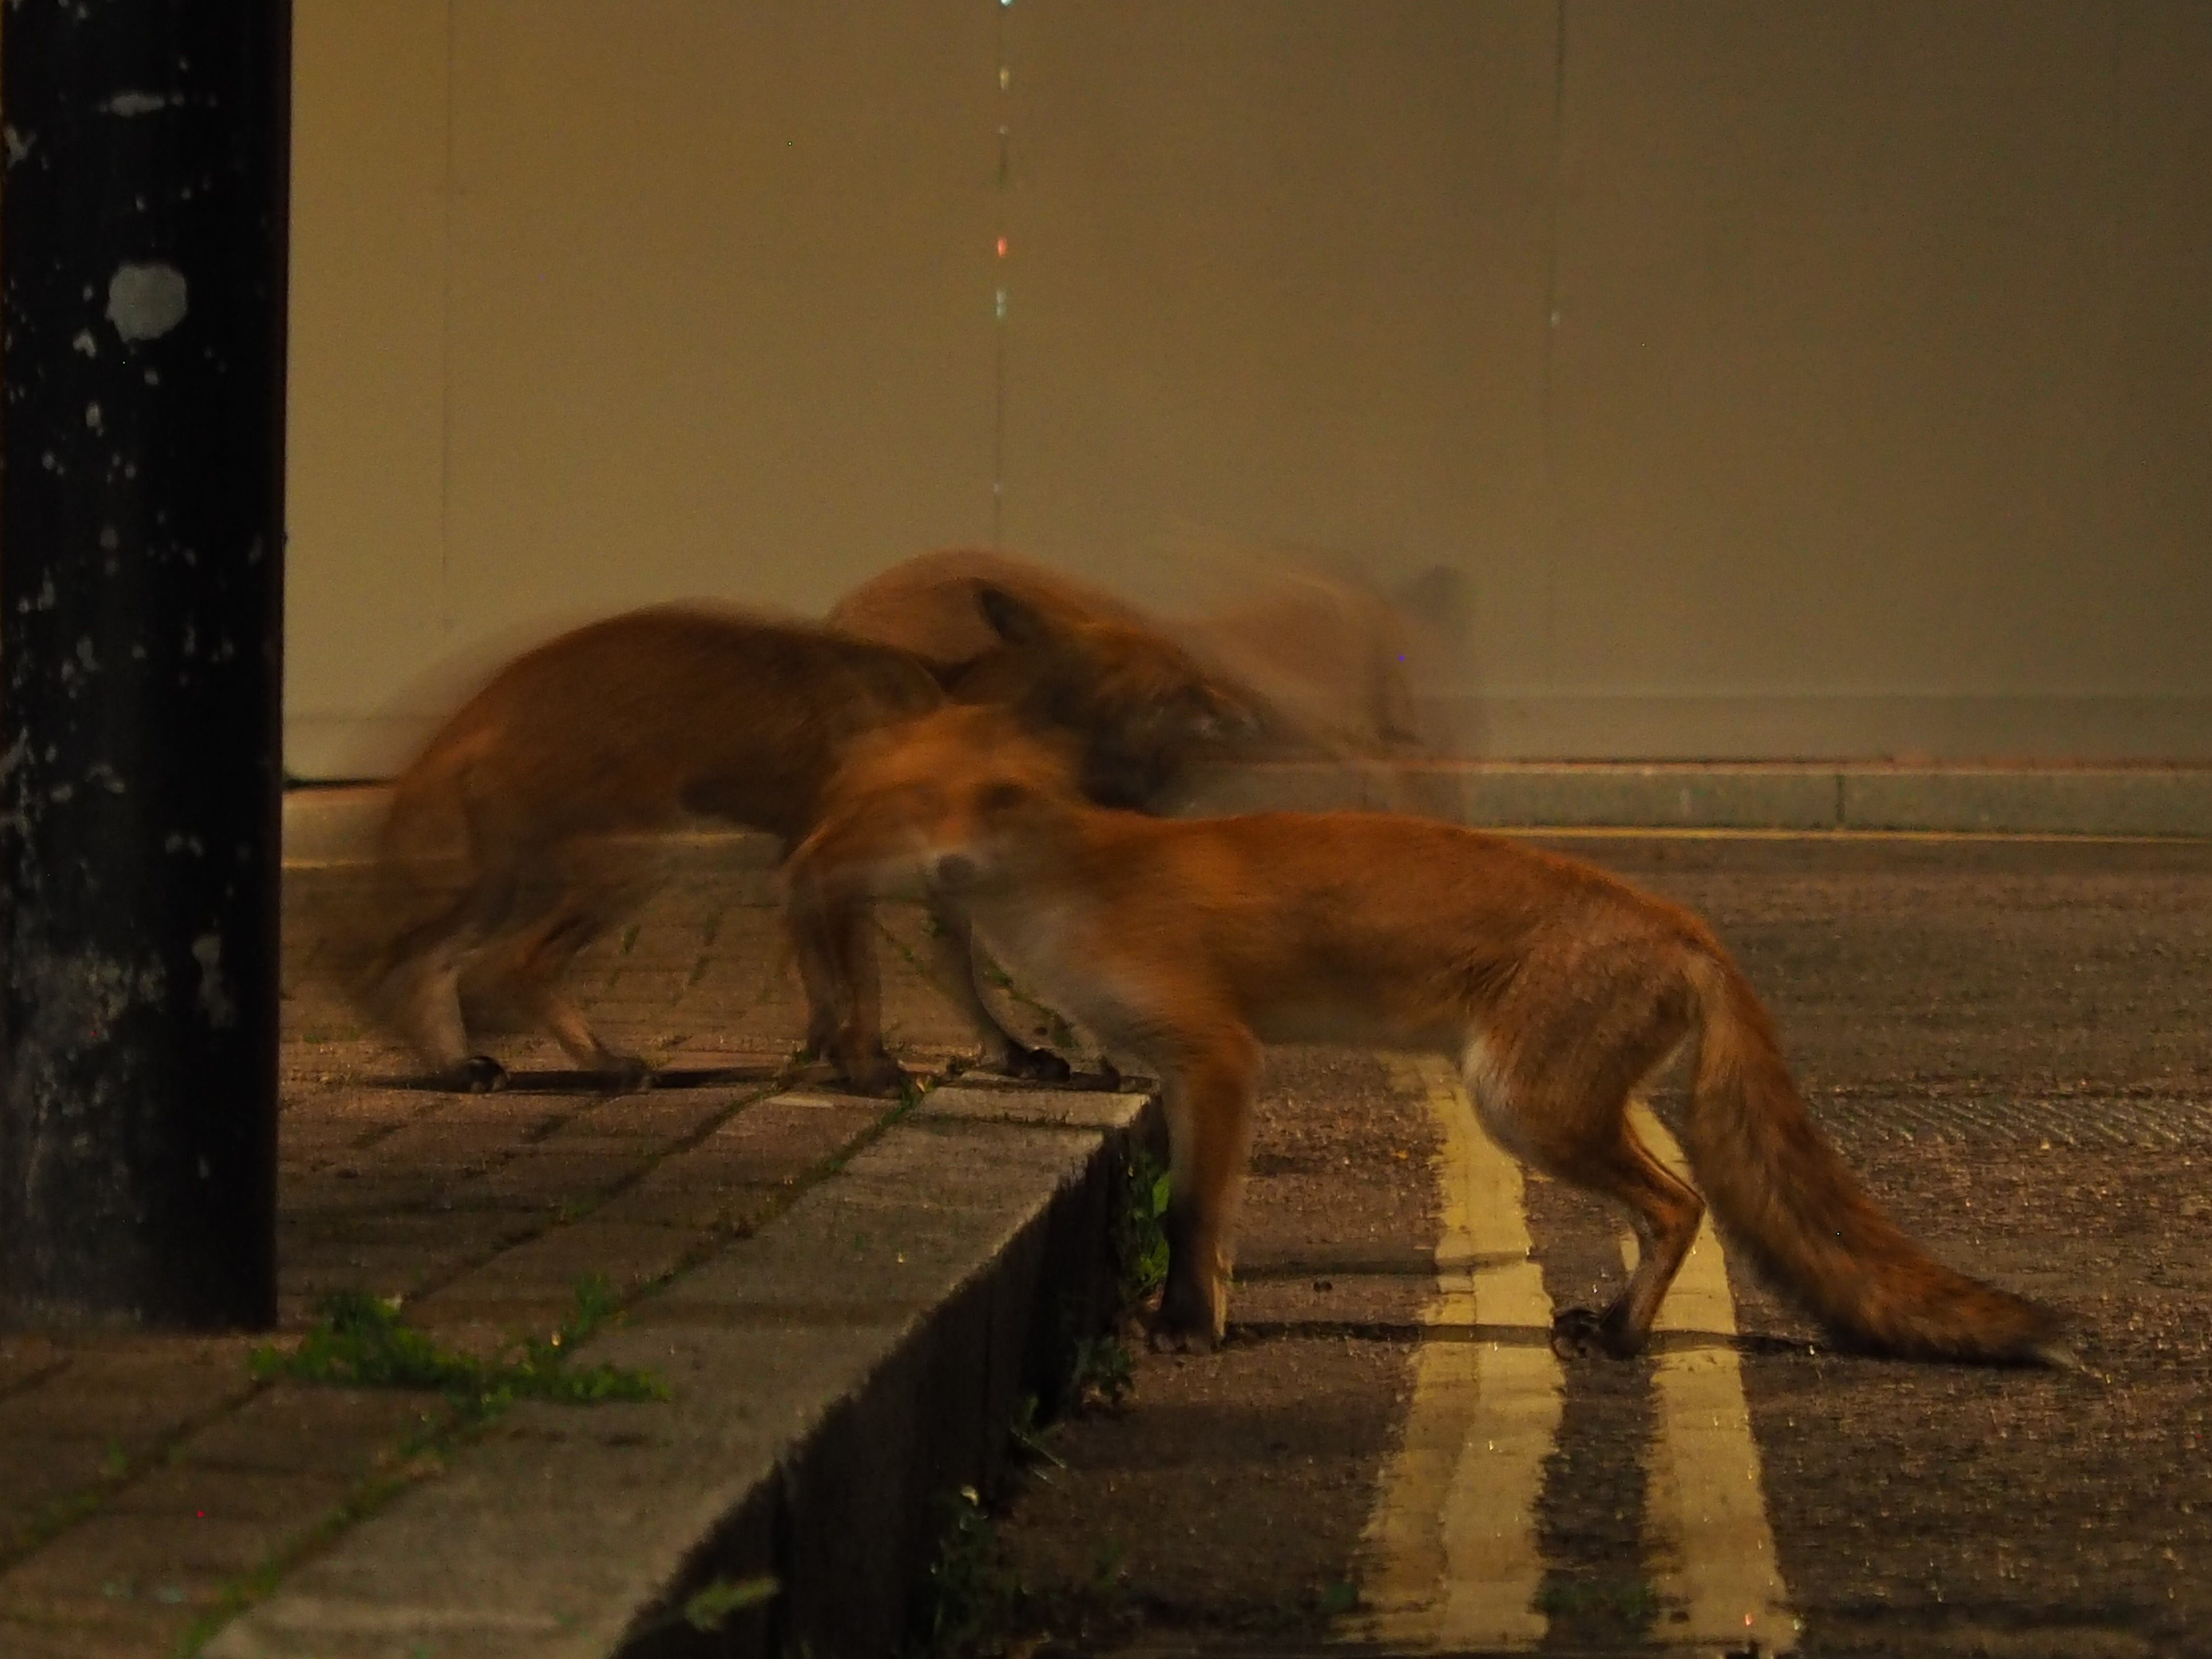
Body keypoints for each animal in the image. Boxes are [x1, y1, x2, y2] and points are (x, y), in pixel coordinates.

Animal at [363, 592, 1256, 1096]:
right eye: (1180, 684)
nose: (1252, 712)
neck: (947, 709)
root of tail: (480, 705)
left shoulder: (855, 872)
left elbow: (941, 979)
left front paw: (1005, 1053)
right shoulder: (829, 863)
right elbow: (868, 985)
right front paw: (866, 1067)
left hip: (514, 882)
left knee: (418, 962)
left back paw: (455, 1067)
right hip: (634, 862)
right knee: (509, 967)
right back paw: (609, 1066)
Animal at [784, 704, 2068, 1365]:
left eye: (988, 803)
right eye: (899, 808)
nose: (946, 862)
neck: (1079, 891)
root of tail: (1684, 919)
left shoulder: (1220, 1054)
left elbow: (1196, 1216)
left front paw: (1186, 1325)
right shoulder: (1186, 1069)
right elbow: (1211, 1217)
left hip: (1524, 1106)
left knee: (1684, 1203)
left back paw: (1621, 1335)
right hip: (1548, 1108)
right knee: (1678, 1203)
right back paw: (1620, 1320)